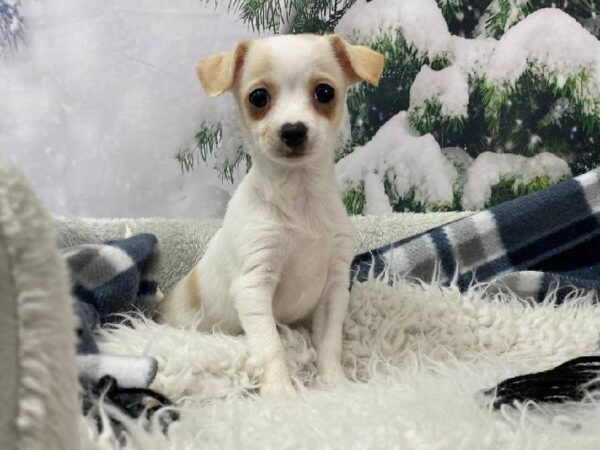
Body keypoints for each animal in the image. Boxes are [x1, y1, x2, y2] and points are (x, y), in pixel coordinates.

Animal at [161, 35, 384, 394]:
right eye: (258, 97)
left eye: (325, 92)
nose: (293, 130)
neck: (299, 197)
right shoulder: (254, 286)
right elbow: (271, 346)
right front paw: (281, 394)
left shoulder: (334, 288)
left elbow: (329, 343)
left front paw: (335, 384)